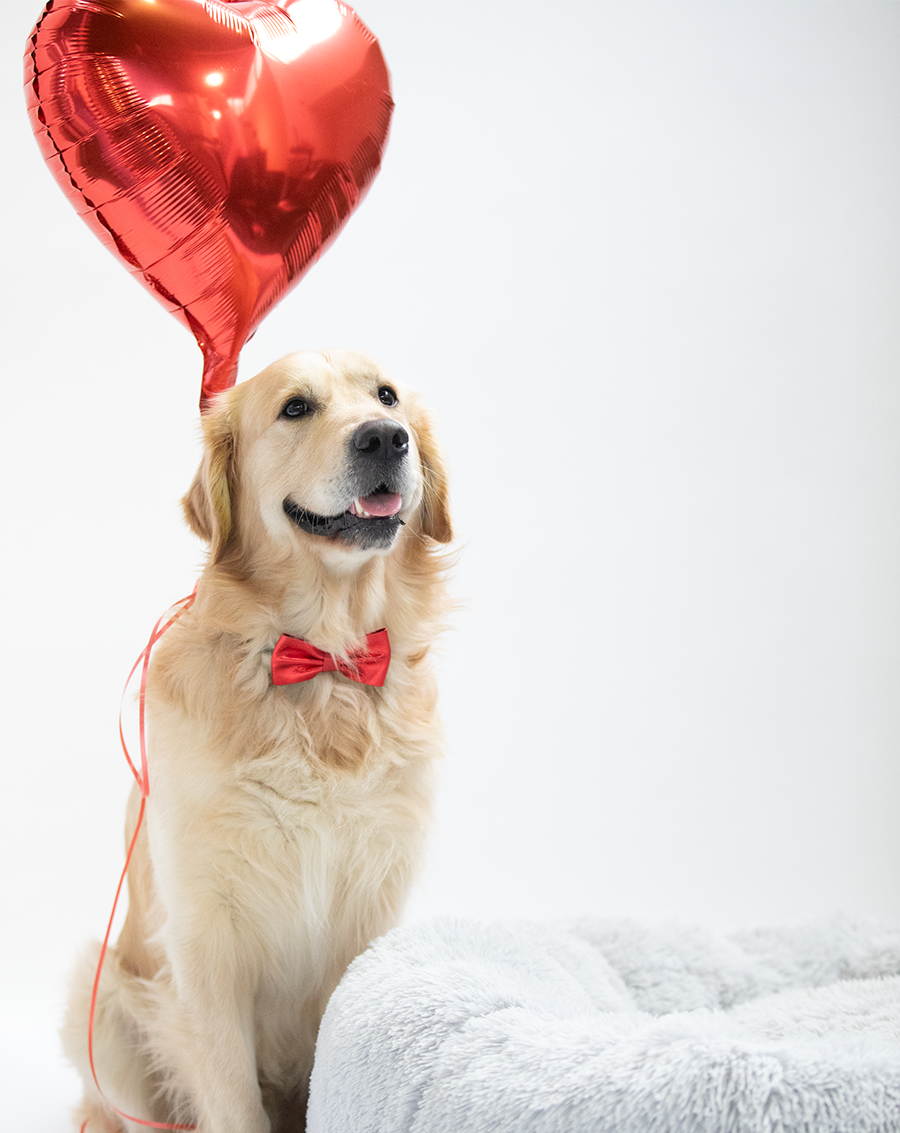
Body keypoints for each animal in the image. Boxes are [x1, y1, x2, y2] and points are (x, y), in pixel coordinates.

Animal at [63, 348, 453, 1128]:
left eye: (386, 396)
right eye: (295, 407)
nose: (384, 439)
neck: (325, 663)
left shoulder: (373, 914)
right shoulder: (205, 944)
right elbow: (233, 1100)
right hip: (102, 999)